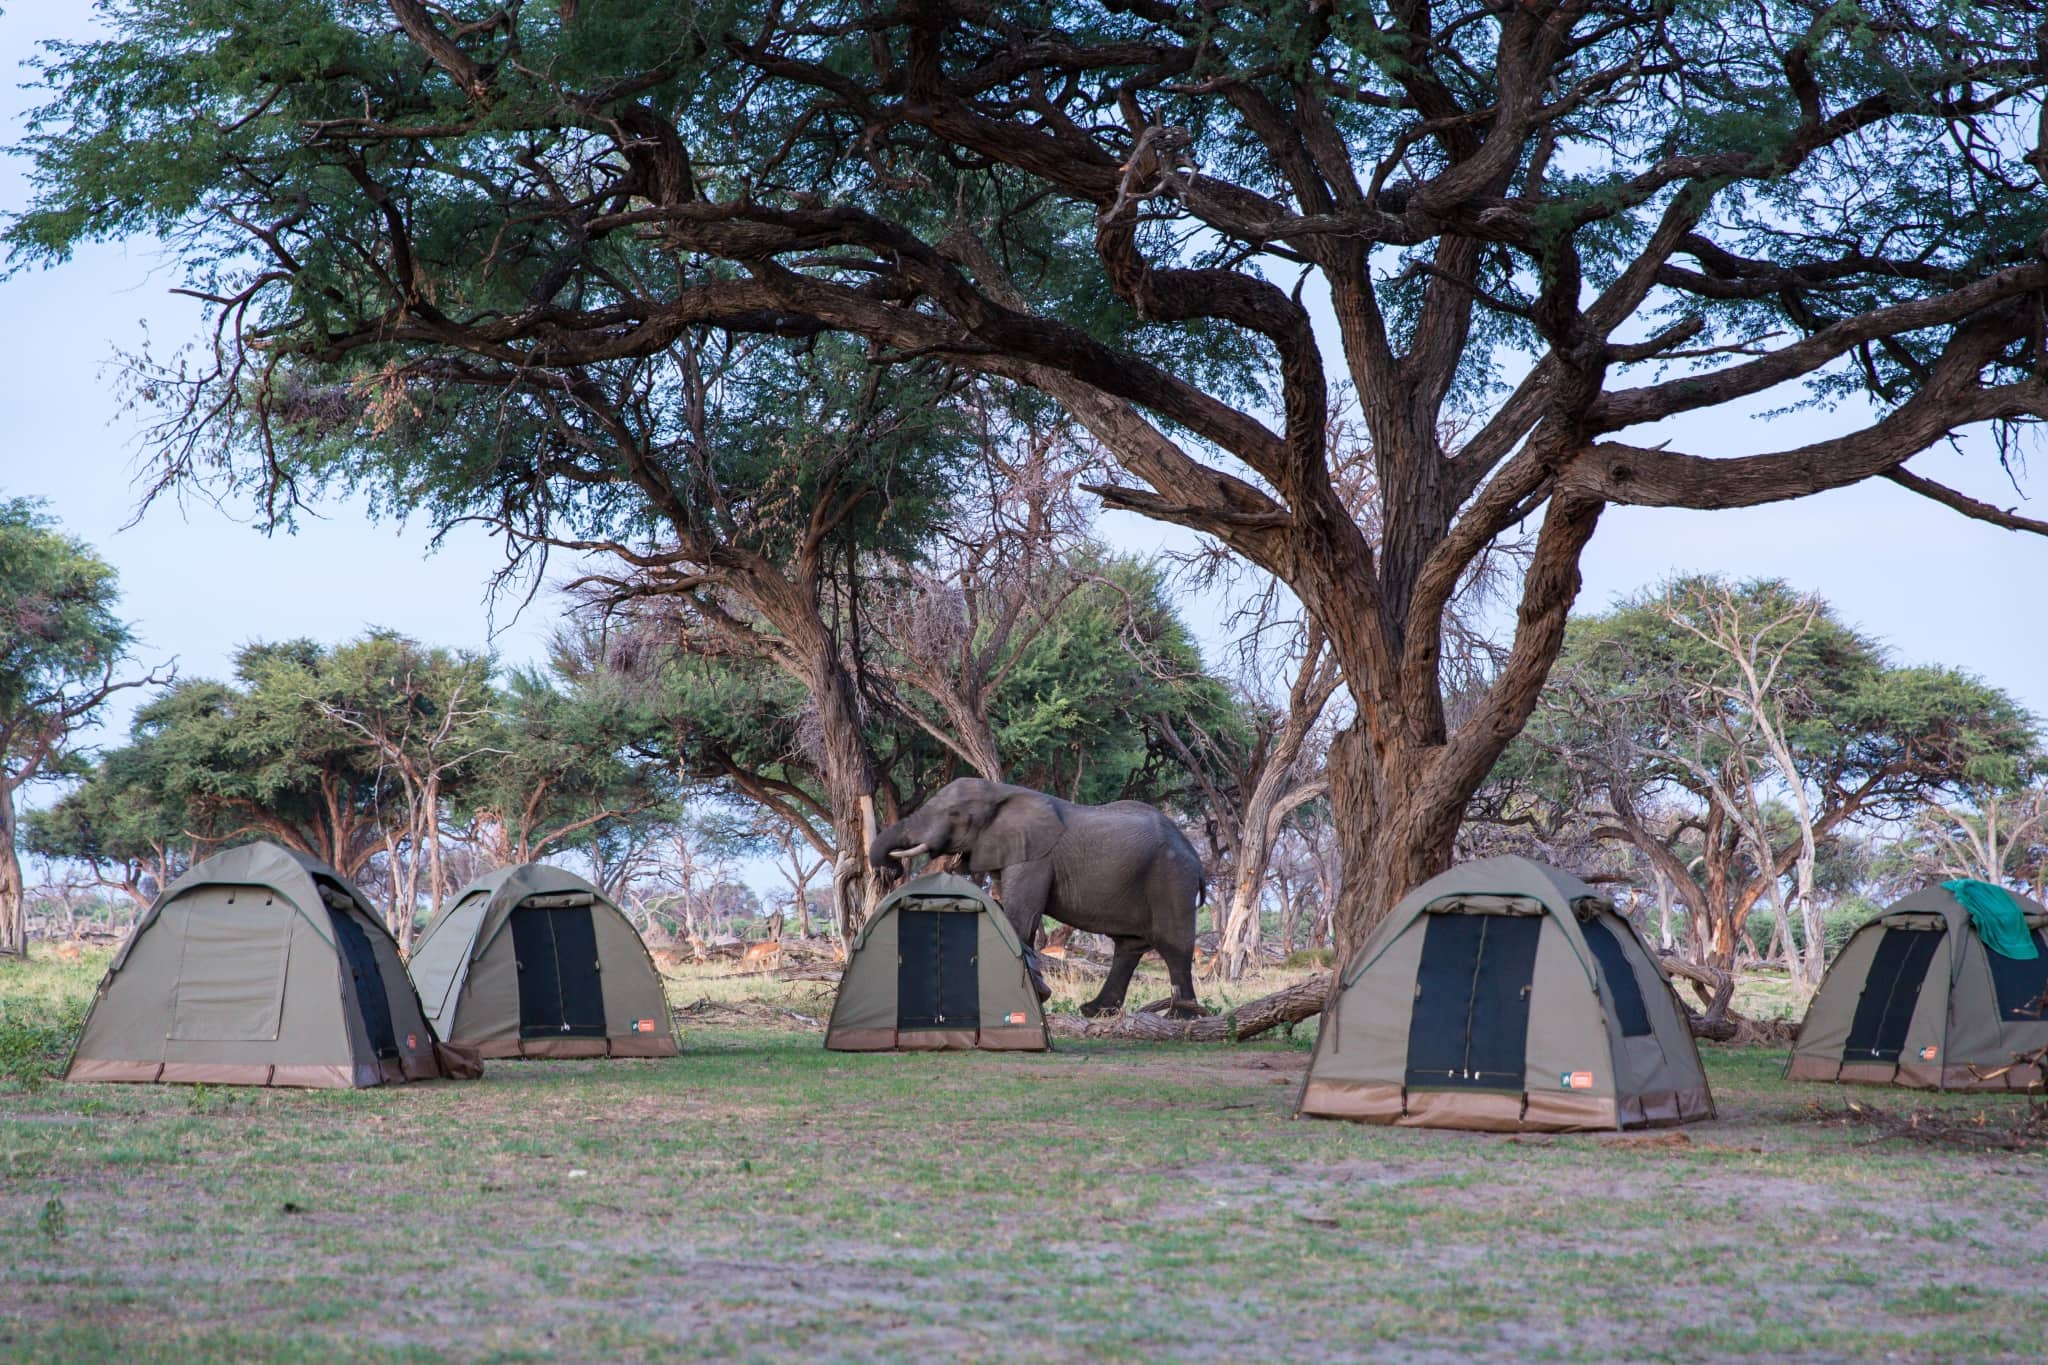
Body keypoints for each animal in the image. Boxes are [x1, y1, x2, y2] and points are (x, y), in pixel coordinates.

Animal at [868, 777, 1204, 1018]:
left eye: (954, 814)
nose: (892, 870)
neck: (1002, 791)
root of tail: (1193, 853)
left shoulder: (1035, 858)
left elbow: (1020, 915)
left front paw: (1033, 996)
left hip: (1172, 877)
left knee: (1173, 945)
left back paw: (1181, 1017)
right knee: (1128, 946)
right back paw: (1094, 1012)